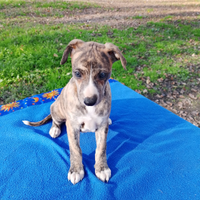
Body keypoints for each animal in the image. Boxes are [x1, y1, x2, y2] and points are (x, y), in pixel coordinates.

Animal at [22, 39, 126, 184]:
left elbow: (101, 148)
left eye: (102, 75)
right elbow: (76, 149)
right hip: (57, 109)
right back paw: (54, 129)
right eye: (77, 73)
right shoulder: (72, 127)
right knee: (54, 119)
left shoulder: (102, 127)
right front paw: (76, 170)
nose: (89, 101)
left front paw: (102, 168)